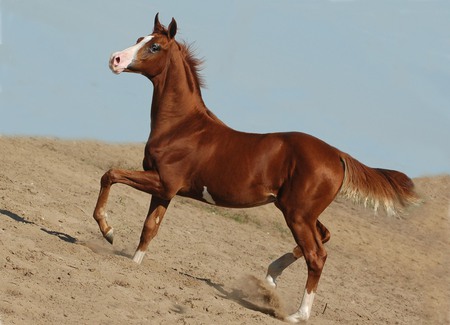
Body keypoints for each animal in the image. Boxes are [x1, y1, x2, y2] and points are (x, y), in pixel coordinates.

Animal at [92, 13, 418, 322]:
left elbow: (110, 175)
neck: (182, 127)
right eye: (139, 38)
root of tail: (338, 154)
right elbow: (149, 230)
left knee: (317, 255)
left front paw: (109, 231)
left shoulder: (163, 182)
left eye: (154, 47)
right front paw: (133, 264)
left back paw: (296, 314)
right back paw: (271, 277)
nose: (115, 59)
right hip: (302, 212)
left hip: (297, 214)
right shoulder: (164, 191)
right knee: (324, 237)